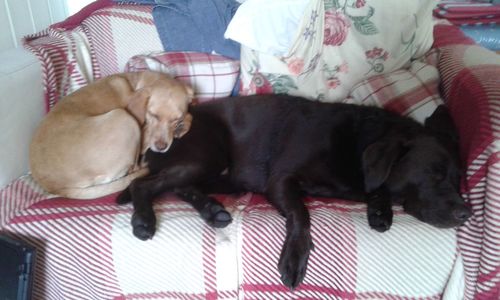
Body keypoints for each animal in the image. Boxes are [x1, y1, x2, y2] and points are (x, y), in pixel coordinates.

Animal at [29, 71, 193, 199]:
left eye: (176, 119)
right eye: (153, 114)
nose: (161, 147)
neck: (137, 82)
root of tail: (56, 188)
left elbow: (189, 114)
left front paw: (182, 126)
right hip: (124, 118)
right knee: (134, 167)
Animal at [119, 95, 470, 290]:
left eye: (458, 178)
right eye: (434, 174)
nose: (466, 213)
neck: (357, 145)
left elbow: (376, 190)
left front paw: (380, 209)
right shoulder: (281, 180)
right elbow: (301, 213)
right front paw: (294, 257)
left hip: (218, 175)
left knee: (180, 187)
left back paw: (212, 209)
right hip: (208, 158)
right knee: (144, 185)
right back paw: (144, 220)